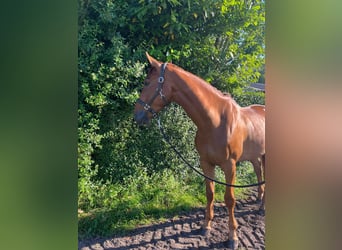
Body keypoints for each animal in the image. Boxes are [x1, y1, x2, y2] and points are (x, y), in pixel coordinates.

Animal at [134, 52, 264, 248]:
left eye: (147, 82)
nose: (136, 116)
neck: (215, 122)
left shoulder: (230, 166)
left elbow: (229, 199)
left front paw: (233, 236)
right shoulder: (206, 163)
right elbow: (210, 194)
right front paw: (206, 226)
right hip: (257, 157)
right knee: (259, 174)